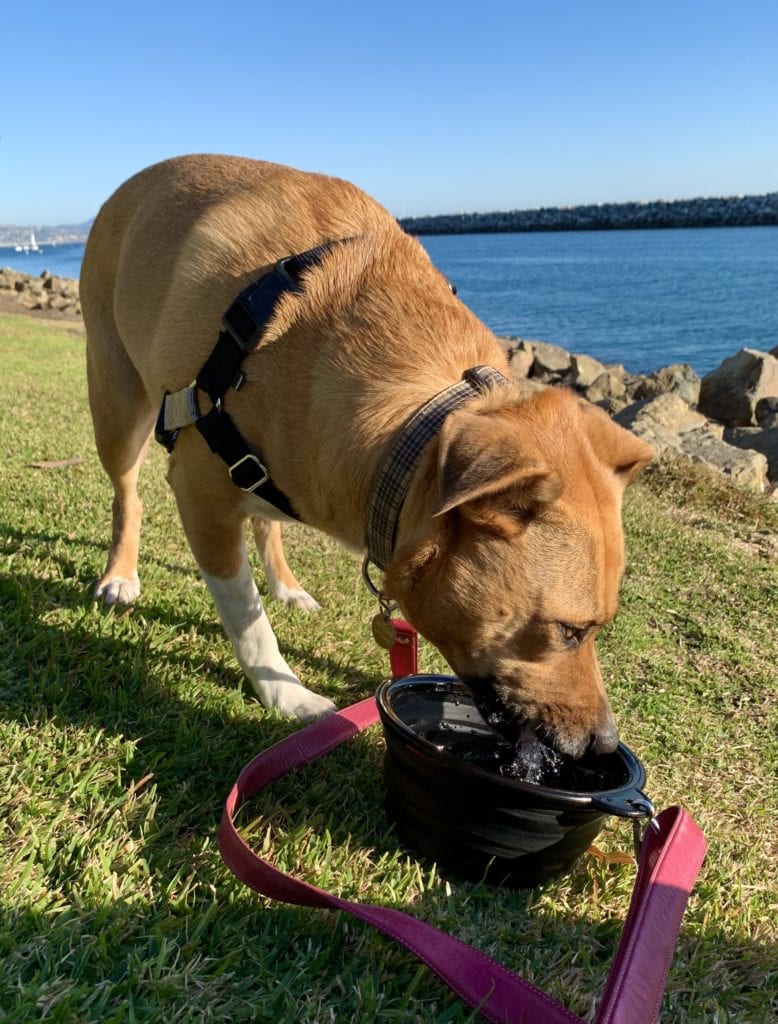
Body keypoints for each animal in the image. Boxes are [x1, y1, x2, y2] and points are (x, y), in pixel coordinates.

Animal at [81, 155, 651, 757]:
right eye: (570, 631)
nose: (604, 744)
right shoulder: (199, 494)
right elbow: (244, 615)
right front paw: (286, 695)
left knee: (265, 520)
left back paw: (286, 586)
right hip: (118, 407)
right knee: (128, 494)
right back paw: (120, 575)